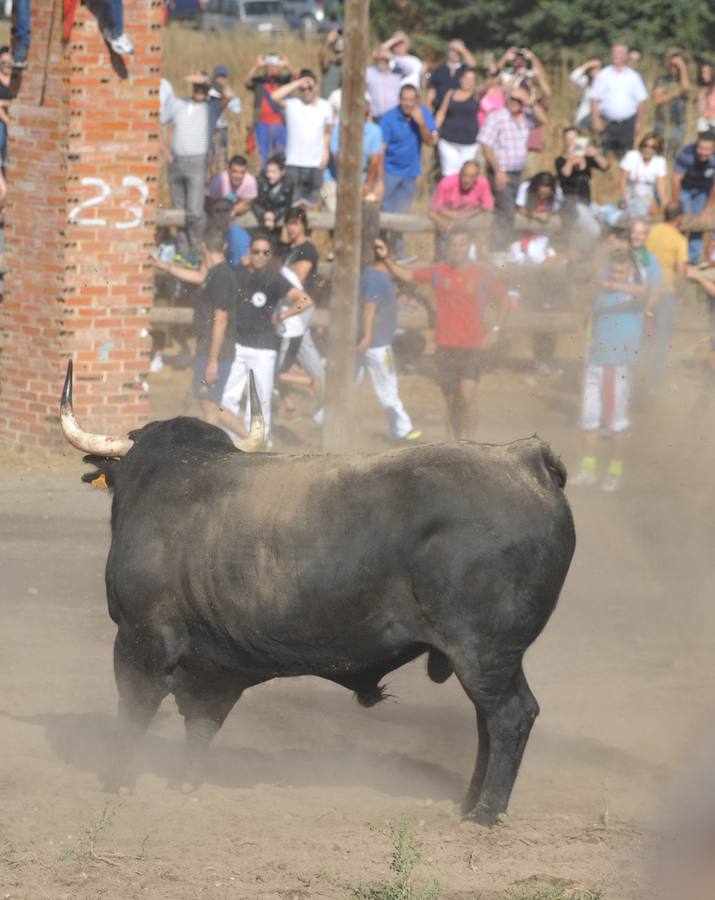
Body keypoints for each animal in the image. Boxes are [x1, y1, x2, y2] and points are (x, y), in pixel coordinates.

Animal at [64, 370, 576, 824]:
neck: (172, 482)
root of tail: (523, 459)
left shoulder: (141, 639)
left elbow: (134, 711)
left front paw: (118, 781)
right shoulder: (213, 666)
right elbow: (201, 722)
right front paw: (186, 782)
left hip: (484, 652)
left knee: (511, 717)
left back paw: (485, 813)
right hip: (490, 659)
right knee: (488, 721)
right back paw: (470, 802)